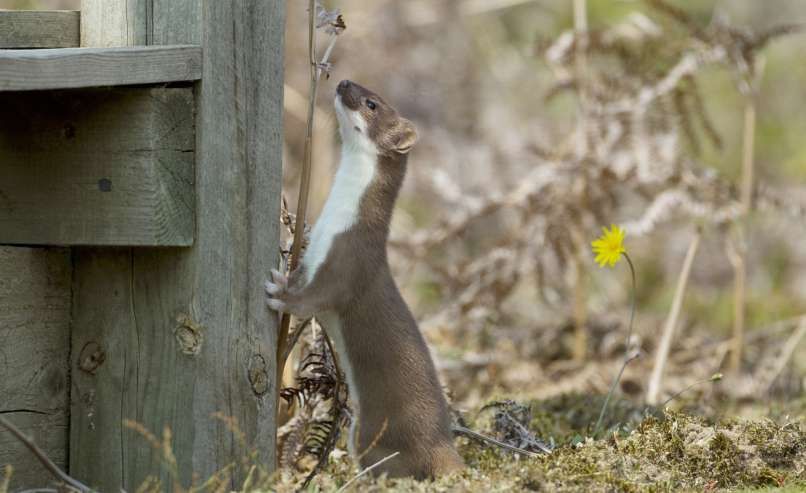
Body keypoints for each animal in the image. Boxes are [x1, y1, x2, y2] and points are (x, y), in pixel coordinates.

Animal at [268, 80, 464, 476]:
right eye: (363, 89)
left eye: (372, 104)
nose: (343, 83)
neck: (334, 220)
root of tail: (443, 443)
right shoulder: (314, 254)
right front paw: (283, 278)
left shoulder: (346, 260)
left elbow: (313, 299)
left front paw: (276, 293)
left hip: (369, 431)